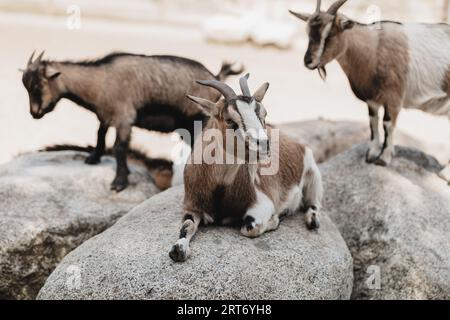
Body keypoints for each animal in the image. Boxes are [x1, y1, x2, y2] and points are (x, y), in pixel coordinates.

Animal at [22, 51, 243, 191]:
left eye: (38, 85)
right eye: (27, 85)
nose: (34, 113)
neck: (100, 81)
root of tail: (216, 75)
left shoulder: (124, 117)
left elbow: (120, 147)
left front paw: (119, 182)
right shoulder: (106, 115)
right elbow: (100, 135)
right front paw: (93, 159)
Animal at [170, 75, 324, 262]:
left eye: (264, 114)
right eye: (229, 120)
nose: (264, 144)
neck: (219, 188)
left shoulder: (261, 203)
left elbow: (250, 228)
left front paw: (275, 218)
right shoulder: (192, 206)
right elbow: (187, 225)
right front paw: (178, 249)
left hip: (313, 174)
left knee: (314, 203)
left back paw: (310, 219)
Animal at [290, 0, 448, 181]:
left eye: (329, 34)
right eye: (308, 32)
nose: (308, 61)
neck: (374, 49)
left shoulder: (393, 98)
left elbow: (387, 124)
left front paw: (383, 158)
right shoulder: (372, 99)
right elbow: (373, 122)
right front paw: (371, 154)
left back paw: (445, 174)